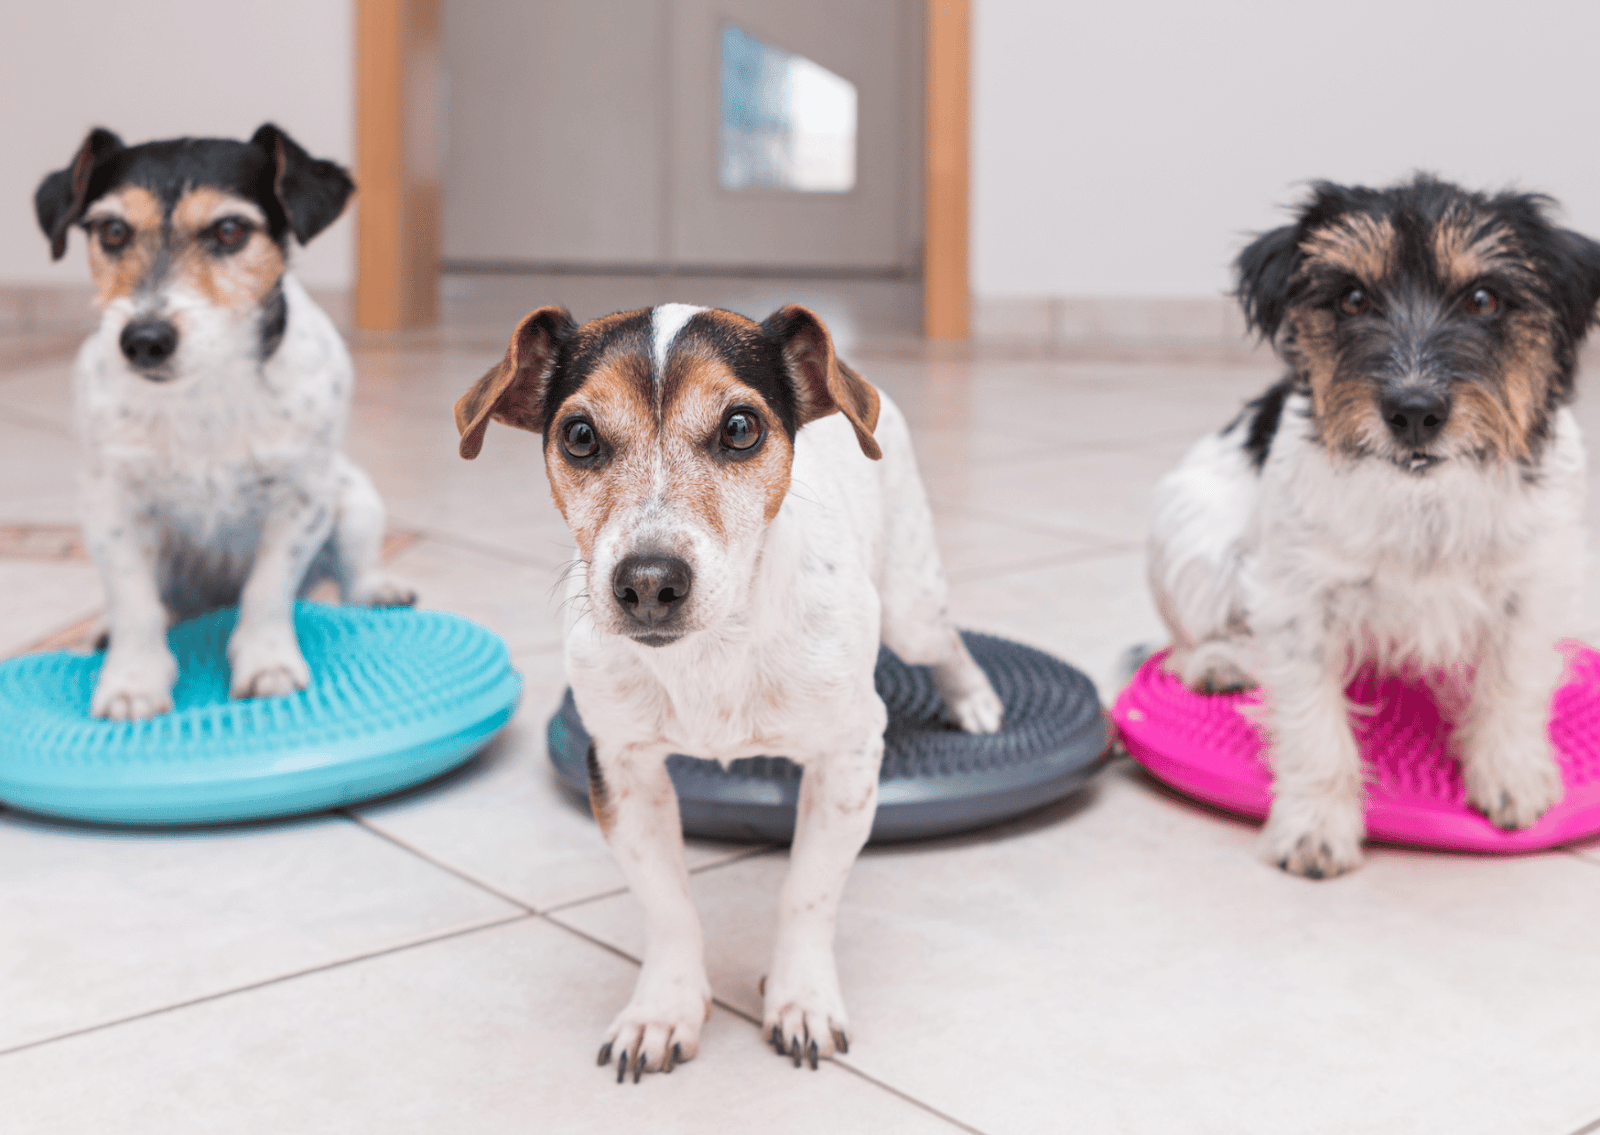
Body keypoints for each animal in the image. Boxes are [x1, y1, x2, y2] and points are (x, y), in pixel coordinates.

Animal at [36, 126, 419, 717]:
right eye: (113, 230)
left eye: (231, 230)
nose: (144, 340)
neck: (205, 390)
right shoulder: (111, 505)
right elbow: (134, 602)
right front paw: (132, 680)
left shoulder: (302, 499)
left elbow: (267, 592)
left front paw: (266, 663)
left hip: (354, 500)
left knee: (353, 574)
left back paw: (379, 590)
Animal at [451, 300, 998, 1082]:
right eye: (580, 436)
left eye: (741, 428)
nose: (649, 581)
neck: (710, 651)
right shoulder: (621, 768)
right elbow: (668, 905)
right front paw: (662, 1009)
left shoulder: (849, 757)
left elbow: (808, 893)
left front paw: (801, 998)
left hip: (911, 602)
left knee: (945, 640)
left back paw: (975, 700)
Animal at [1152, 176, 1600, 883]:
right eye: (1353, 298)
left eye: (1483, 298)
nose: (1413, 411)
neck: (1423, 495)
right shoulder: (1299, 597)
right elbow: (1313, 722)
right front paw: (1313, 827)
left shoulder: (1534, 580)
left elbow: (1514, 678)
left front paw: (1512, 775)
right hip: (1190, 539)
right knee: (1185, 635)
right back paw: (1217, 661)